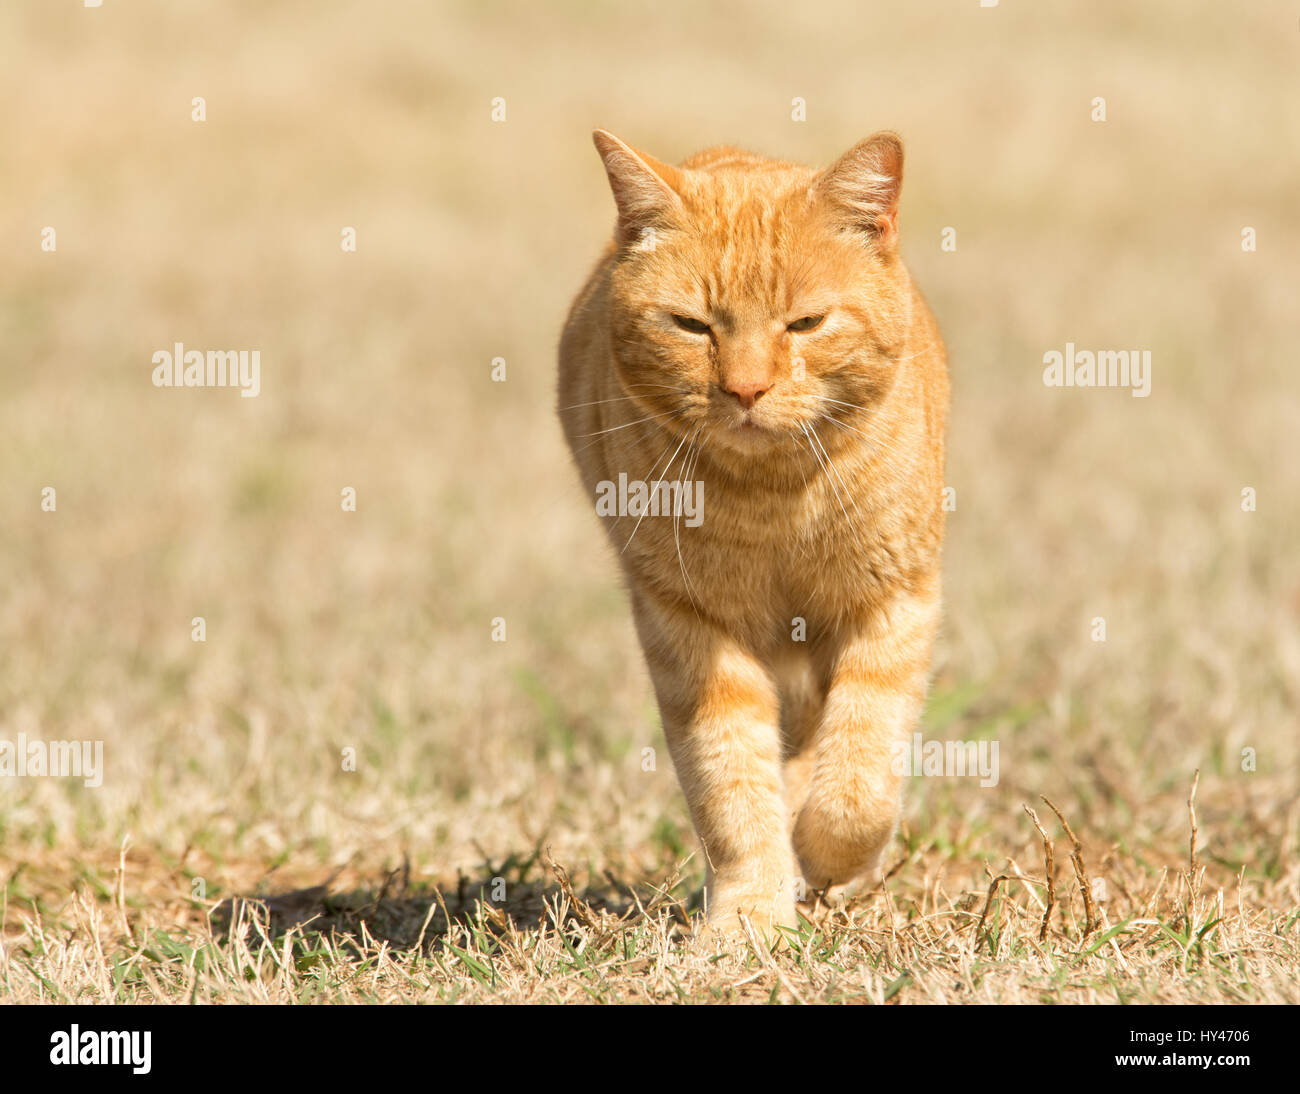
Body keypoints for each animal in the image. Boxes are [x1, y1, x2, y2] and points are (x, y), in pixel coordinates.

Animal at [556, 126, 946, 930]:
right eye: (692, 325)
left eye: (805, 323)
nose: (745, 388)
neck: (774, 500)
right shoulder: (693, 632)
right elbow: (731, 785)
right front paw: (749, 921)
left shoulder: (894, 604)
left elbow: (861, 771)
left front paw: (828, 857)